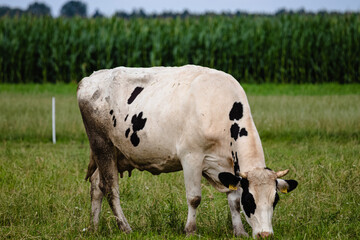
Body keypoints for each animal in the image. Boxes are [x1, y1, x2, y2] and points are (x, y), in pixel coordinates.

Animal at [76, 65, 298, 238]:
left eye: (275, 200)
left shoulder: (228, 165)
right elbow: (194, 198)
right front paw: (190, 230)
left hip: (114, 154)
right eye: (250, 200)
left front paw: (239, 231)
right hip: (102, 144)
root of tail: (90, 78)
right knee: (110, 188)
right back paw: (125, 227)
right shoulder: (191, 157)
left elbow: (233, 199)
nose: (265, 234)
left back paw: (94, 227)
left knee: (96, 184)